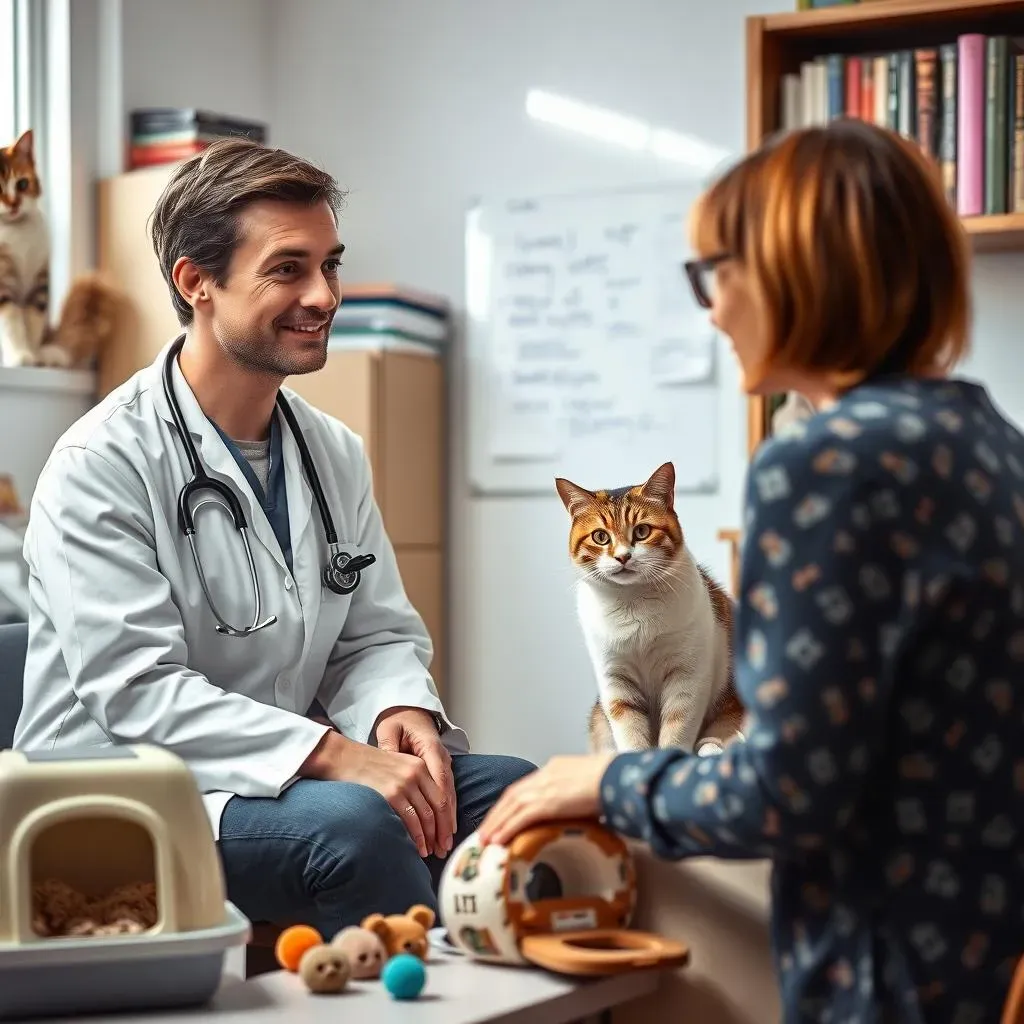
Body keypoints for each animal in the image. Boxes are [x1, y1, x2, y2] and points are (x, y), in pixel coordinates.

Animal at [0, 127, 124, 368]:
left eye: (22, 184)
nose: (13, 204)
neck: (18, 231)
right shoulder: (3, 282)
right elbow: (11, 321)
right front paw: (21, 356)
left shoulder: (40, 281)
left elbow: (33, 321)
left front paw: (36, 355)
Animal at [557, 460, 749, 757]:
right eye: (600, 537)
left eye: (642, 531)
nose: (623, 557)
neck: (632, 603)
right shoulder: (615, 681)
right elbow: (630, 734)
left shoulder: (686, 678)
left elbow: (677, 728)